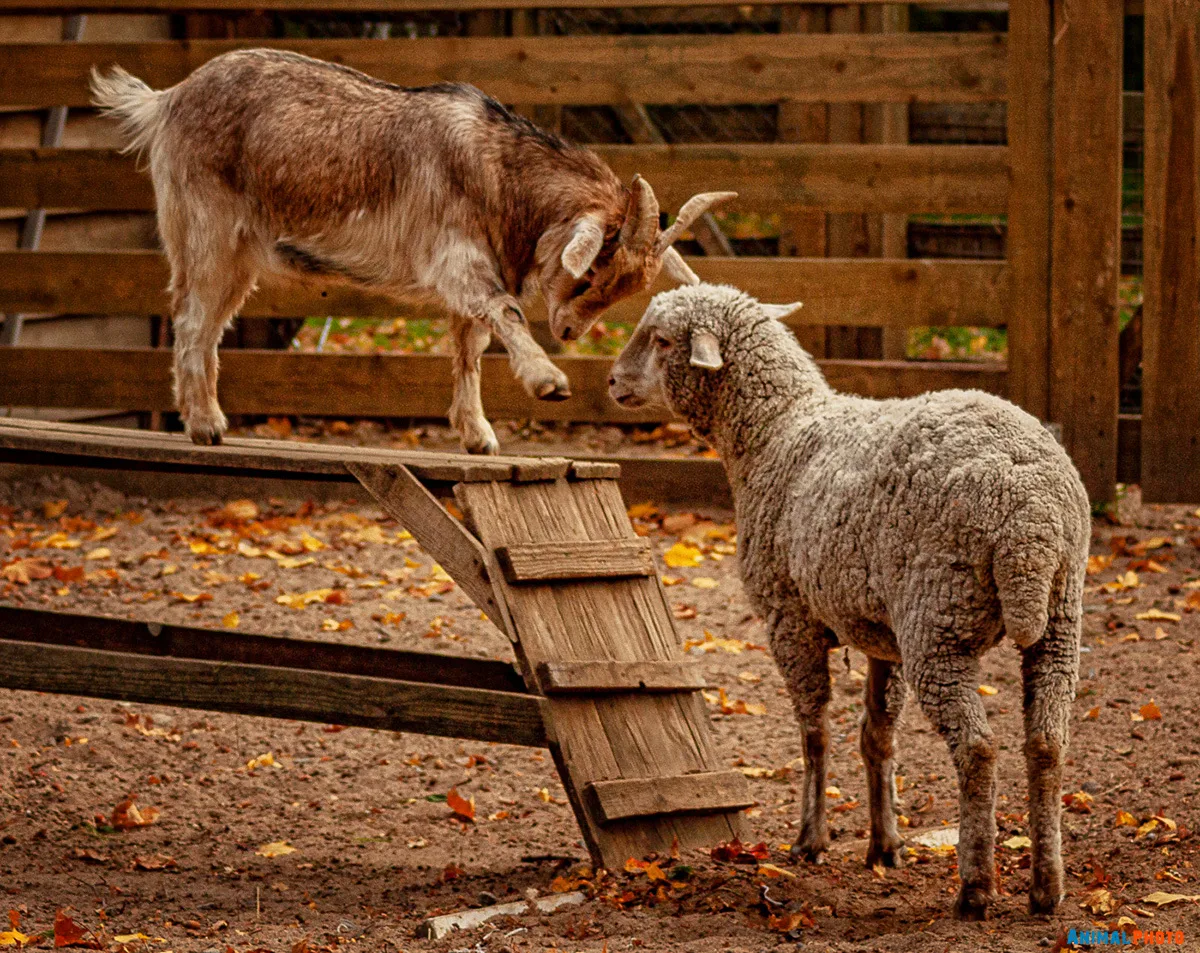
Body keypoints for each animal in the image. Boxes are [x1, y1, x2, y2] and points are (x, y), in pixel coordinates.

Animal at [88, 50, 729, 451]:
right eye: (593, 269)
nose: (569, 331)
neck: (500, 173)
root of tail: (166, 100)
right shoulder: (458, 262)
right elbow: (504, 312)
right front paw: (548, 381)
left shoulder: (474, 270)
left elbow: (470, 347)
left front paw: (478, 436)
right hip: (208, 231)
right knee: (193, 318)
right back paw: (204, 426)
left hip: (240, 255)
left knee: (208, 323)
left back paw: (208, 420)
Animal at [614, 282, 1094, 912]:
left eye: (662, 340)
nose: (612, 382)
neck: (775, 433)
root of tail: (1030, 516)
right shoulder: (879, 632)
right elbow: (877, 736)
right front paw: (884, 844)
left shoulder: (788, 615)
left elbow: (814, 731)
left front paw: (810, 839)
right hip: (1057, 618)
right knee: (1047, 743)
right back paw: (1046, 887)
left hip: (937, 620)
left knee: (978, 749)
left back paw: (975, 887)